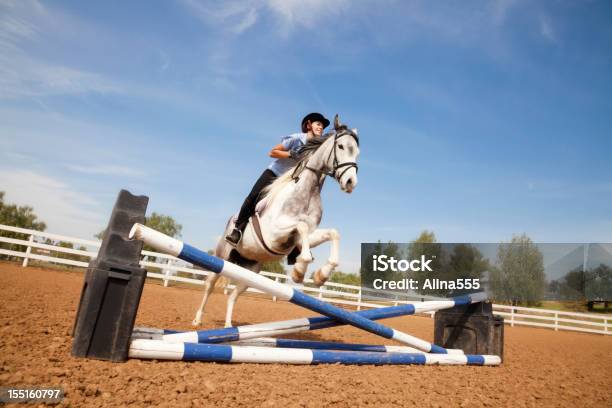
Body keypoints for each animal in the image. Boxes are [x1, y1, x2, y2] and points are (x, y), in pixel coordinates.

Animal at [194, 115, 360, 328]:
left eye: (357, 152)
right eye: (340, 146)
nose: (350, 183)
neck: (307, 192)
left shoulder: (301, 238)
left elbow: (332, 233)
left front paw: (321, 275)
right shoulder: (274, 234)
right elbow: (301, 226)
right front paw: (299, 270)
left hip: (252, 271)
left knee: (233, 295)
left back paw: (229, 326)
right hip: (221, 257)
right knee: (209, 284)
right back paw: (197, 319)